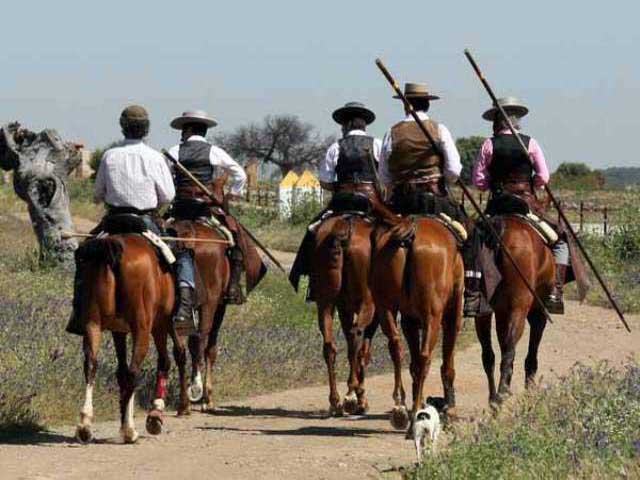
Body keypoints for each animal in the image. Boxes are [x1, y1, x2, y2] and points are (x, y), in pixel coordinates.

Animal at [312, 214, 404, 416]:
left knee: (330, 346)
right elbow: (364, 351)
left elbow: (353, 350)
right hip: (366, 304)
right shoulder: (377, 312)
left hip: (326, 303)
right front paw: (360, 396)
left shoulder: (344, 309)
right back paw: (351, 396)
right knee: (356, 336)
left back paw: (335, 401)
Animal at [370, 216, 464, 434]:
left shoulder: (409, 321)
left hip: (385, 307)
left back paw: (401, 408)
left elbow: (411, 364)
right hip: (433, 317)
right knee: (424, 358)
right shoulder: (453, 315)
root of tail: (409, 233)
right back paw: (413, 417)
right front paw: (450, 408)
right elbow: (447, 363)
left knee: (396, 346)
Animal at [476, 218, 556, 404]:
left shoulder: (501, 313)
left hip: (482, 311)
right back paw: (501, 395)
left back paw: (494, 398)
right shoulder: (538, 314)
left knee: (489, 355)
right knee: (509, 353)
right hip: (519, 309)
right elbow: (531, 355)